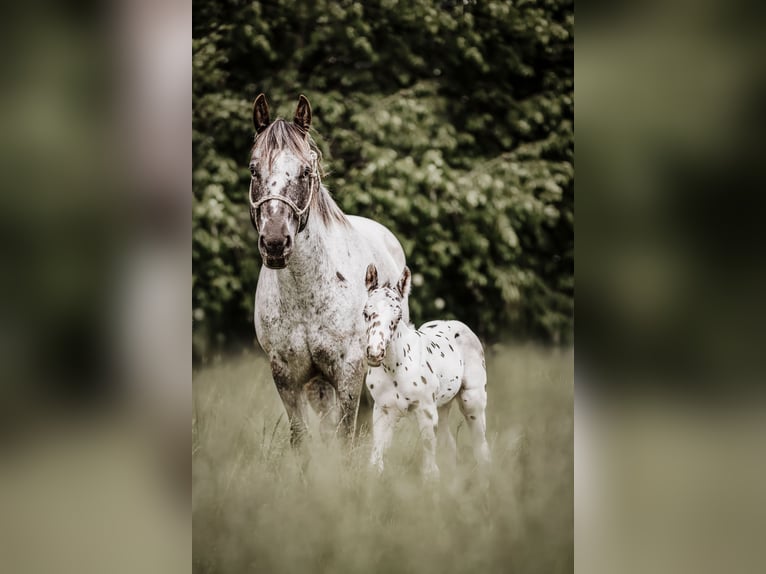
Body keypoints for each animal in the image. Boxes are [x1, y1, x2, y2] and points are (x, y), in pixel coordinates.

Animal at [249, 94, 409, 446]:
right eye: (254, 169)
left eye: (306, 170)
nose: (275, 243)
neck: (305, 292)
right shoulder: (287, 376)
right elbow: (302, 439)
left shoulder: (349, 371)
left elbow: (345, 438)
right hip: (318, 386)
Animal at [362, 264, 490, 478]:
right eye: (365, 313)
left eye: (398, 317)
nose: (374, 353)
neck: (395, 369)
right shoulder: (383, 410)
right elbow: (376, 461)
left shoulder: (426, 411)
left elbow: (430, 466)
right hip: (443, 405)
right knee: (449, 444)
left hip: (472, 401)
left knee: (481, 448)